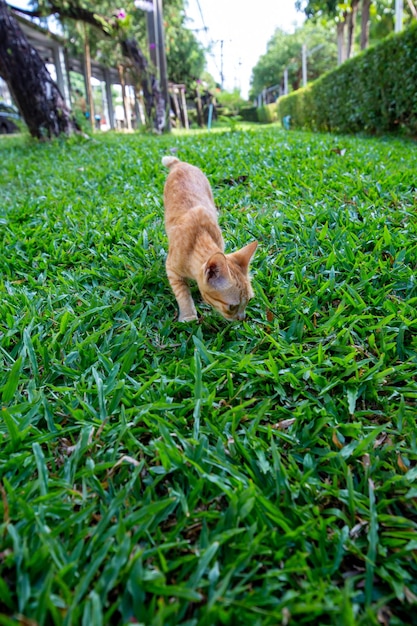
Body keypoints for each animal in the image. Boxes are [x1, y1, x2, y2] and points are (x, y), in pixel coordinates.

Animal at [162, 155, 256, 322]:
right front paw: (188, 315)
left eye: (249, 301)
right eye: (232, 307)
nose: (242, 318)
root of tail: (180, 164)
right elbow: (182, 293)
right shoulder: (172, 269)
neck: (198, 239)